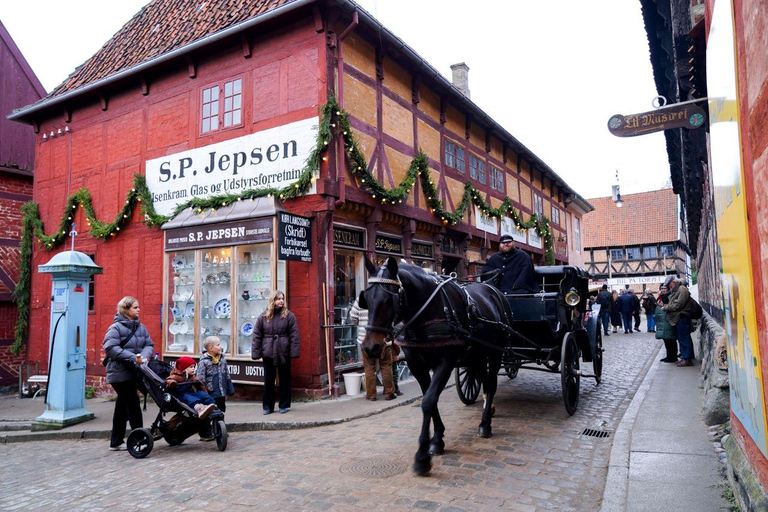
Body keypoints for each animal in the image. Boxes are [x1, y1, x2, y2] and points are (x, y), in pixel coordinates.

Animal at [358, 256, 512, 476]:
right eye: (366, 299)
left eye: (389, 299)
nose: (371, 347)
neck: (428, 312)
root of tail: (493, 288)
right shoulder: (416, 365)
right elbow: (430, 399)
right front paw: (437, 440)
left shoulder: (445, 362)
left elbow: (428, 401)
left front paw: (422, 457)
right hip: (478, 355)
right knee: (482, 379)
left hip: (496, 352)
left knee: (491, 385)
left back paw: (485, 424)